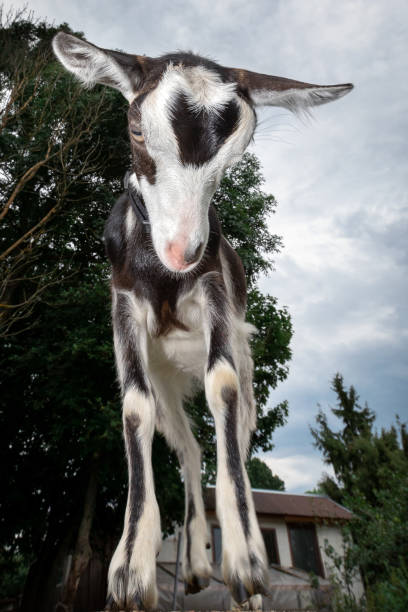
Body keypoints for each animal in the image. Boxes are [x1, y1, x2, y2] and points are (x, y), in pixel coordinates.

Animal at [52, 34, 352, 612]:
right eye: (136, 127)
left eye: (239, 148)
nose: (181, 250)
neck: (165, 277)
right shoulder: (123, 306)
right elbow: (134, 407)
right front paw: (131, 567)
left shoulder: (214, 295)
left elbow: (223, 386)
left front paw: (245, 559)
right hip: (168, 379)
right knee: (187, 445)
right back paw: (191, 561)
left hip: (241, 356)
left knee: (236, 426)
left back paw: (239, 576)